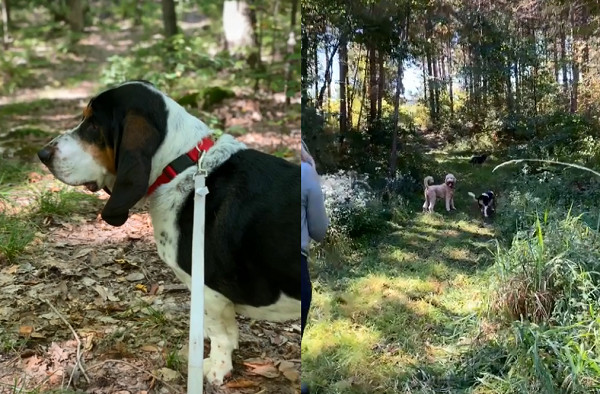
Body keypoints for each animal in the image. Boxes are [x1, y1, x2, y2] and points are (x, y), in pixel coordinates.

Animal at [37, 80, 300, 384]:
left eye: (92, 125)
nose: (42, 155)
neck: (180, 167)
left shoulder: (209, 291)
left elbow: (220, 334)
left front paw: (215, 368)